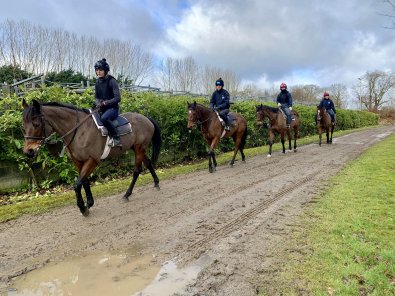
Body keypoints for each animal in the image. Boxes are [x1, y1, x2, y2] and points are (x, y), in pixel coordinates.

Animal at [21, 98, 161, 216]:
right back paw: (156, 183)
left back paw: (127, 194)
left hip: (139, 148)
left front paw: (83, 208)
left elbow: (77, 184)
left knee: (137, 170)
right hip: (138, 149)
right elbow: (85, 181)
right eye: (23, 125)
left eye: (36, 124)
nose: (28, 151)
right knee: (148, 163)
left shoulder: (92, 160)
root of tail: (146, 118)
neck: (79, 130)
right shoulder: (78, 161)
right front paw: (89, 203)